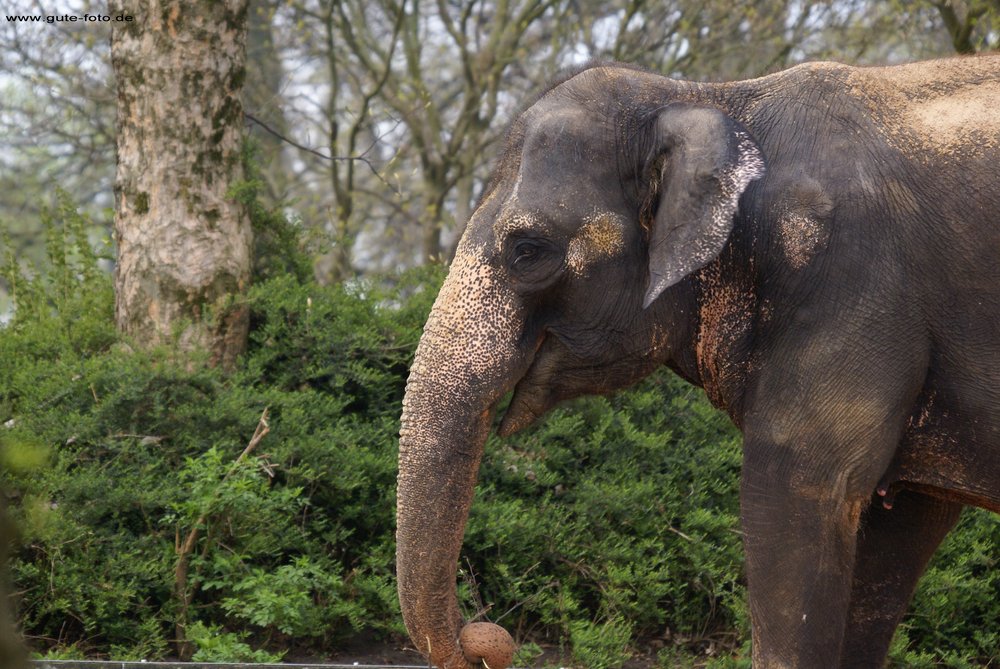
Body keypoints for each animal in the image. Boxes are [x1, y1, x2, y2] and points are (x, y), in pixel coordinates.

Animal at [396, 55, 1000, 669]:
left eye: (527, 251)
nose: (485, 637)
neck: (712, 99)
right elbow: (894, 532)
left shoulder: (850, 282)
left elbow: (798, 493)